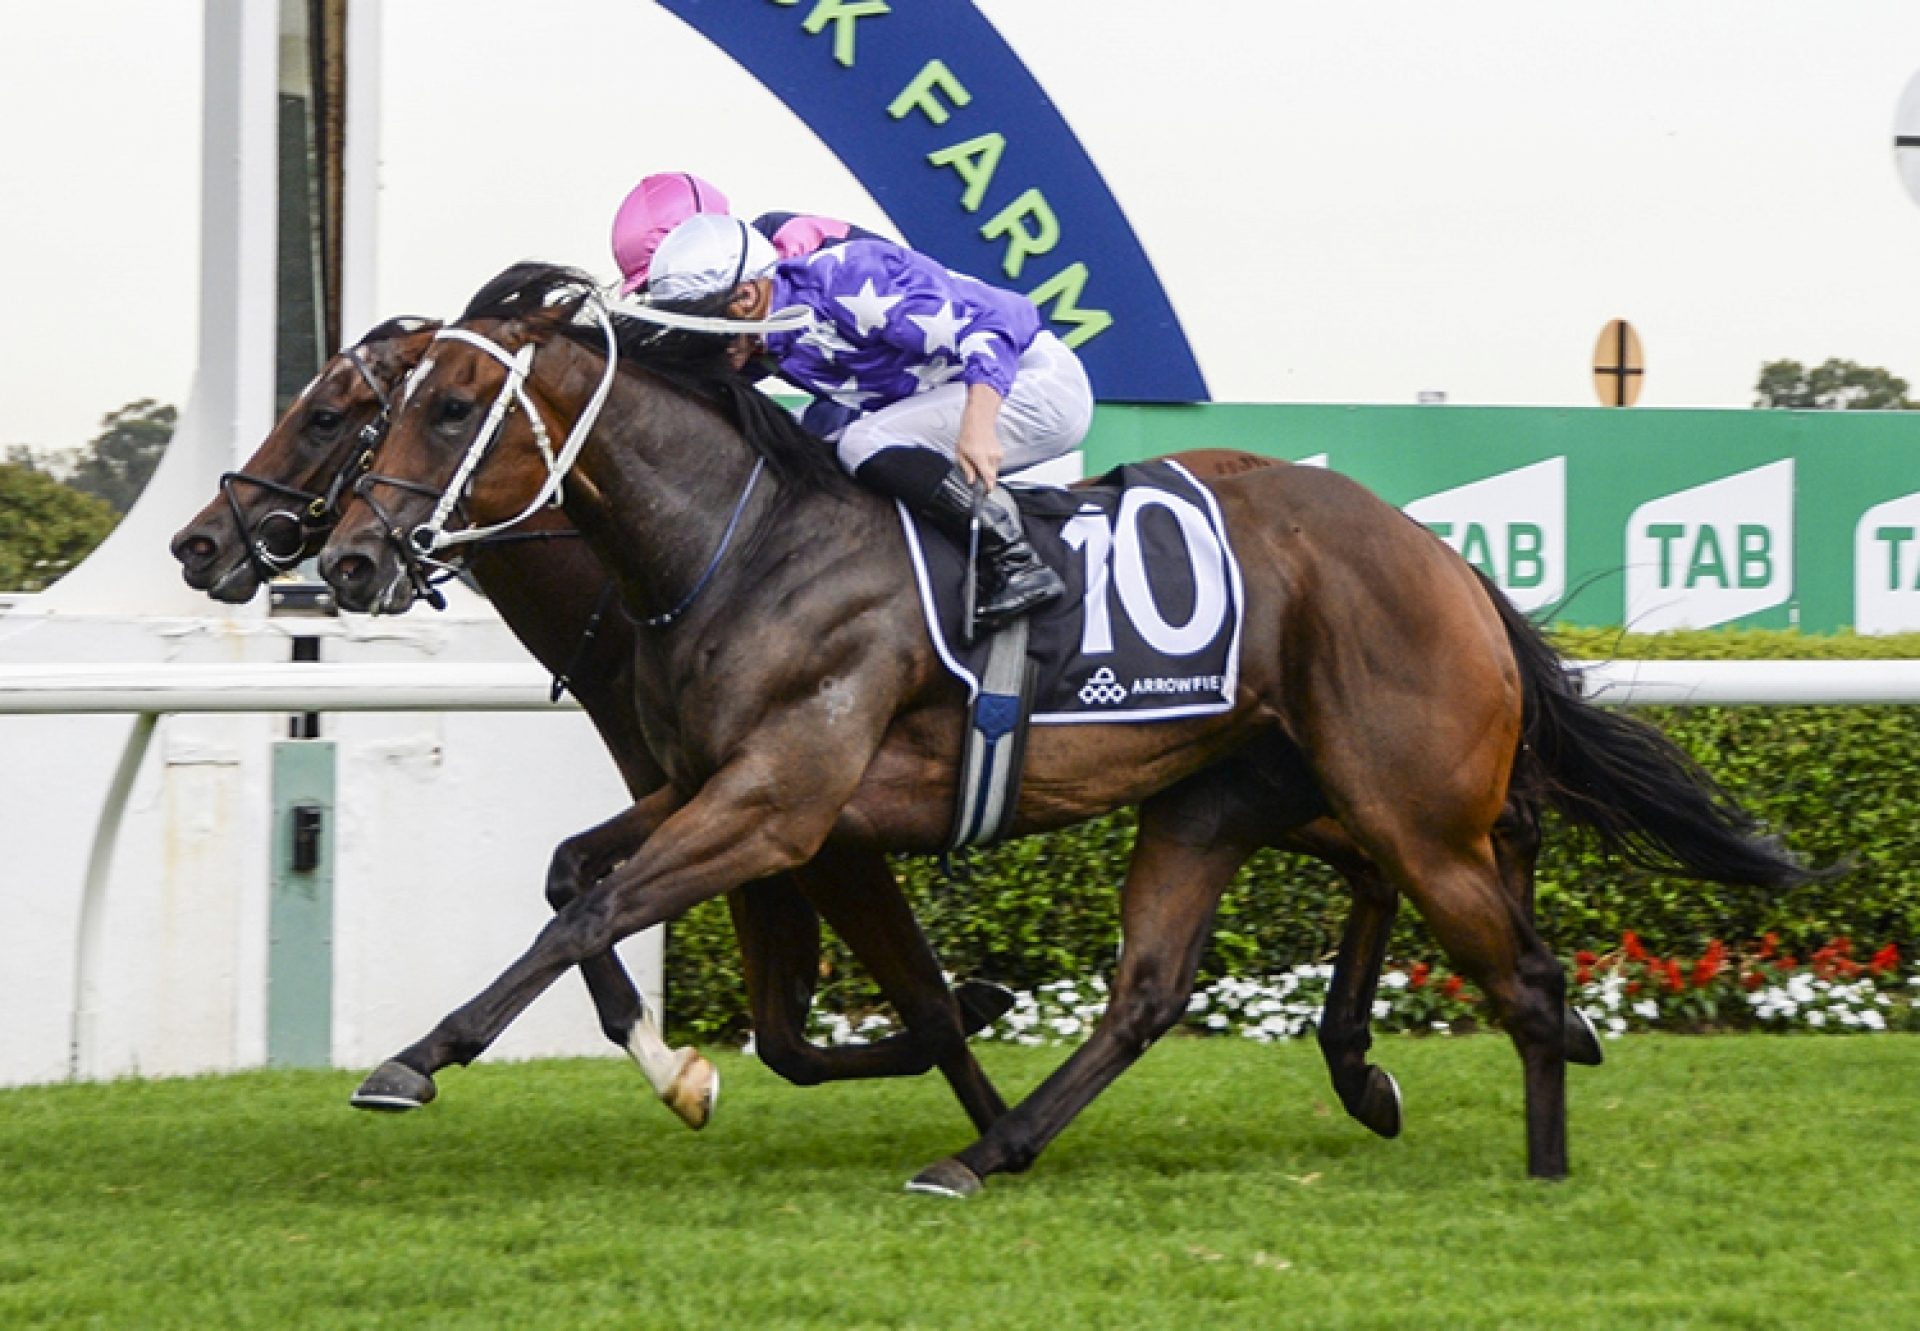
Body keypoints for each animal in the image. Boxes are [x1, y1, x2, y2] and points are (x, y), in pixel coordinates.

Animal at [314, 265, 1812, 1190]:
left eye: (453, 405)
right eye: (379, 411)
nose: (346, 562)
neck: (744, 540)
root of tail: (1443, 559)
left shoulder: (781, 802)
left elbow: (595, 905)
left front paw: (415, 1060)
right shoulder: (725, 785)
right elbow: (578, 873)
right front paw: (675, 1064)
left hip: (1403, 793)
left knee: (1523, 973)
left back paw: (1536, 1159)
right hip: (1250, 792)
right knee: (1166, 980)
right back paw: (1029, 1145)